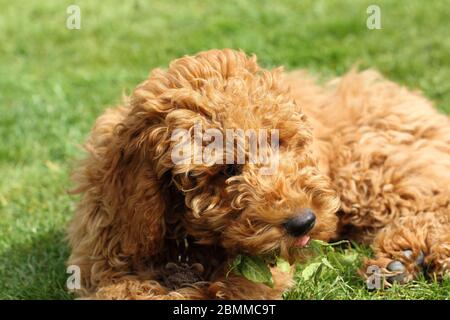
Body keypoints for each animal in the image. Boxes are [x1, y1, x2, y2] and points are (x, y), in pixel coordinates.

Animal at [67, 48, 450, 298]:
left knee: (434, 203)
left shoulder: (260, 273)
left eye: (281, 142)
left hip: (372, 170)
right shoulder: (102, 257)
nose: (304, 222)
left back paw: (405, 256)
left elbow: (230, 287)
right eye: (228, 168)